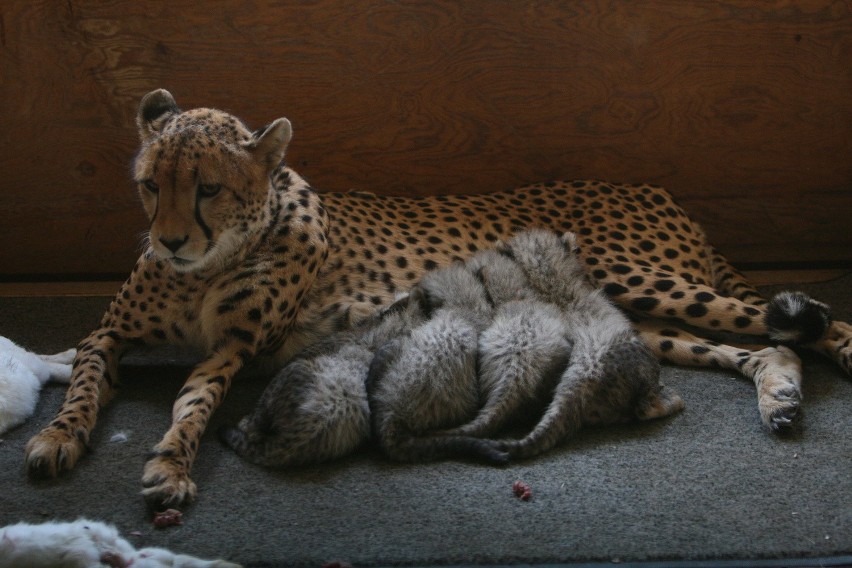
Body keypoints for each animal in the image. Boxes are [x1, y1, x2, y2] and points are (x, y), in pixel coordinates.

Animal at [23, 91, 848, 508]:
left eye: (208, 189)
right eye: (148, 184)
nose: (168, 242)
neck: (215, 257)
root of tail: (654, 189)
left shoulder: (233, 349)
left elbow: (193, 401)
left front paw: (170, 463)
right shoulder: (109, 334)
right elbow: (87, 381)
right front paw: (58, 437)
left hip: (634, 279)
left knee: (818, 321)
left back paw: (816, 360)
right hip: (631, 321)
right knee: (762, 343)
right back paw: (779, 394)